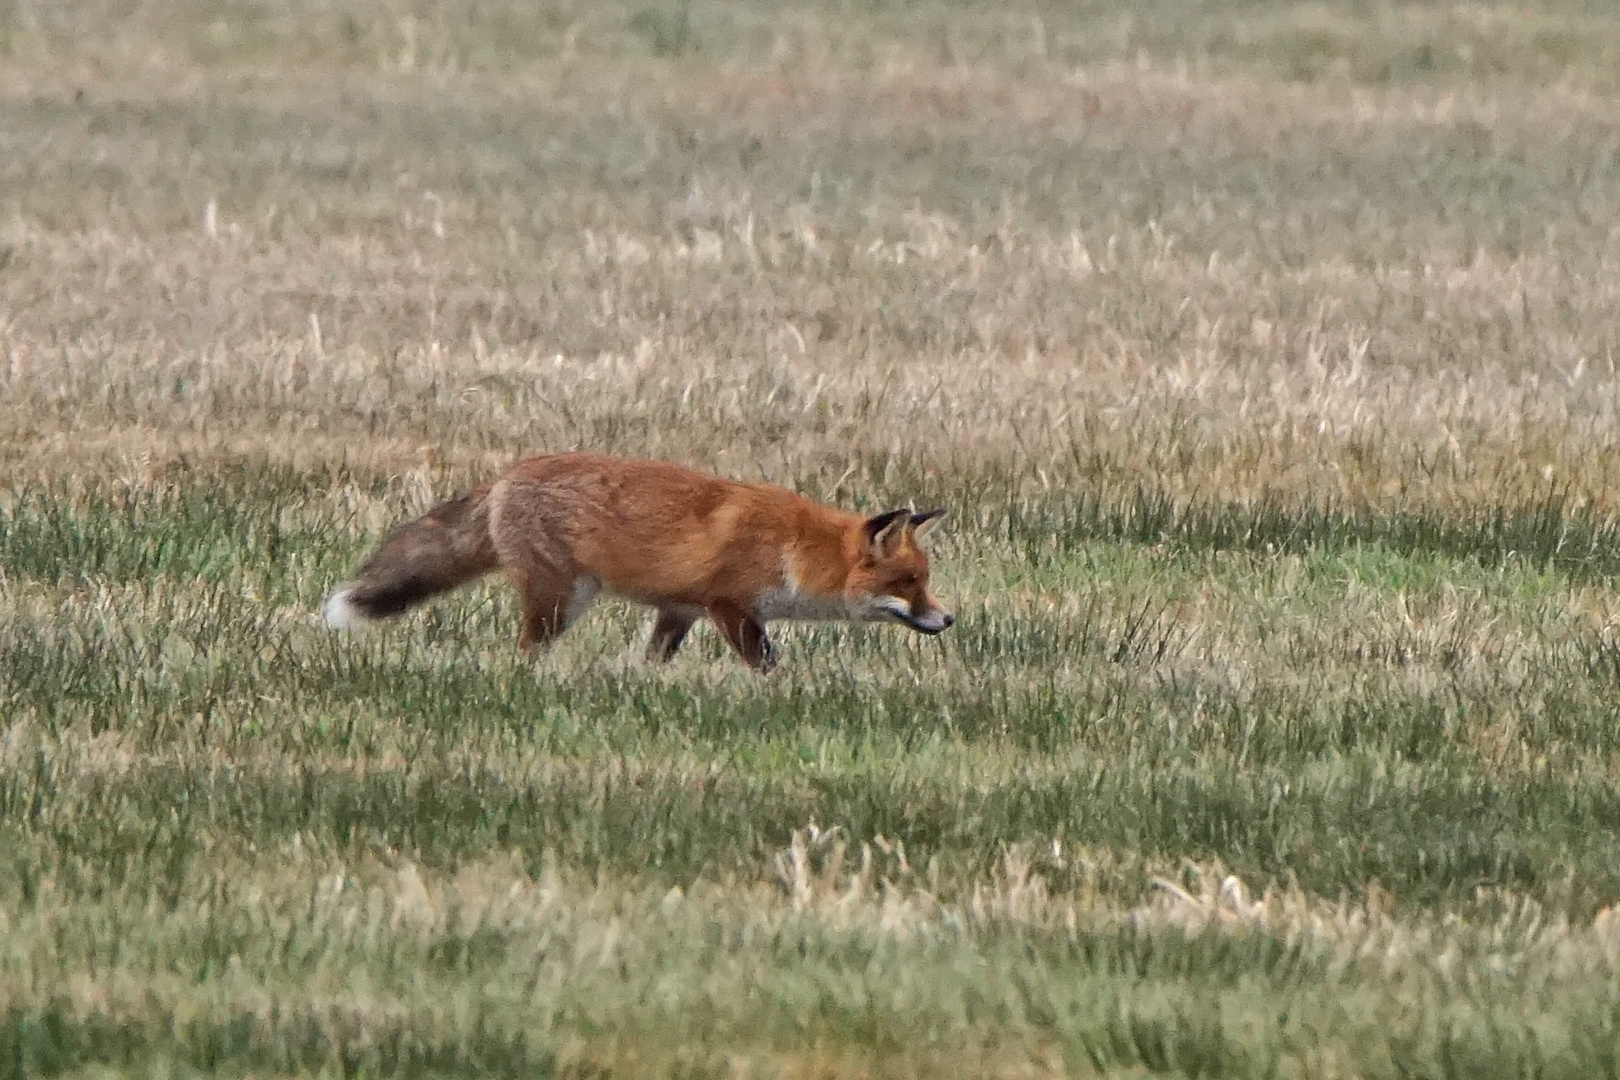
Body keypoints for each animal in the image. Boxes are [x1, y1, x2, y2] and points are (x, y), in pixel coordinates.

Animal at [324, 453, 952, 670]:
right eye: (909, 582)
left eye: (925, 582)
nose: (948, 619)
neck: (794, 549)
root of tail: (506, 474)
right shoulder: (728, 605)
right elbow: (766, 663)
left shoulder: (680, 609)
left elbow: (655, 660)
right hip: (560, 601)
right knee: (526, 649)